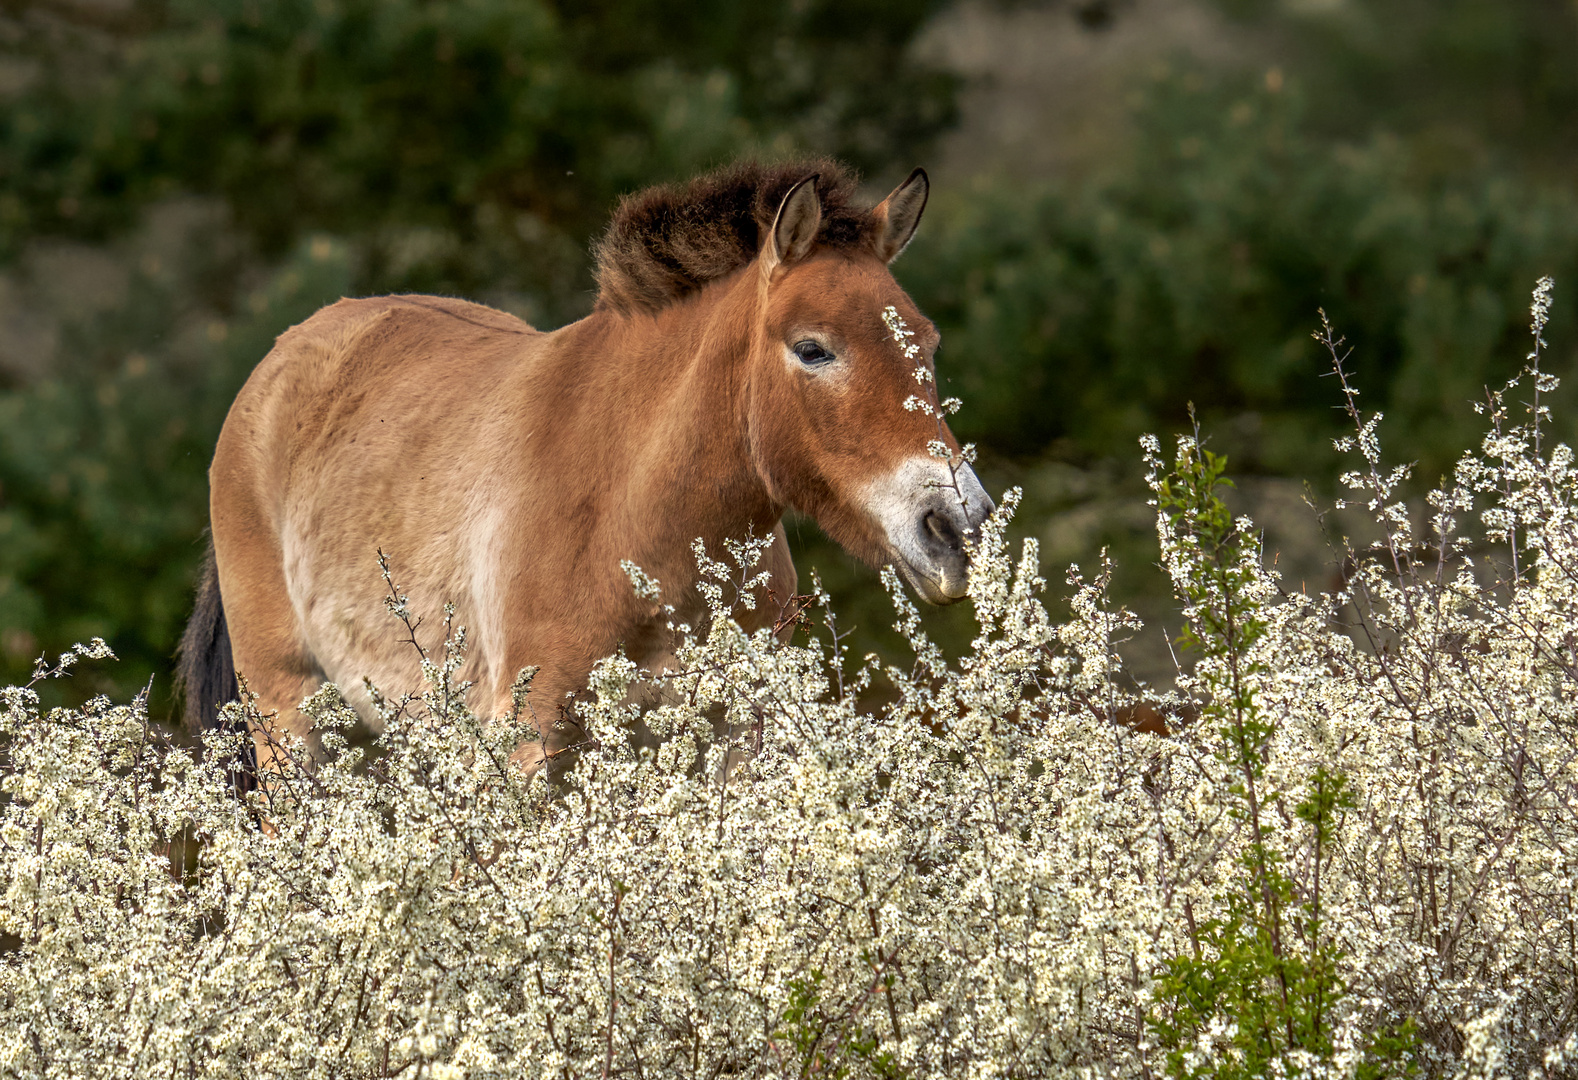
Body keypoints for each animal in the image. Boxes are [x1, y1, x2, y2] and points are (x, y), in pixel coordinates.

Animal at [179, 157, 990, 776]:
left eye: (926, 341)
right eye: (813, 348)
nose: (957, 527)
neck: (635, 516)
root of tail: (275, 365)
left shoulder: (730, 736)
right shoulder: (533, 736)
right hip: (287, 720)